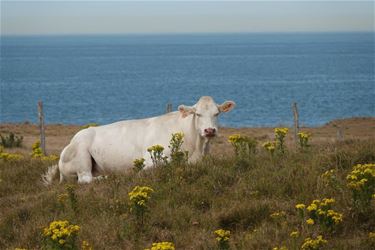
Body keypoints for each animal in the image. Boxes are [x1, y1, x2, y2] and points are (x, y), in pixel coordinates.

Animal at [43, 95, 235, 184]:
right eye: (198, 114)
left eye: (217, 113)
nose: (209, 130)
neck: (196, 148)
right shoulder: (151, 160)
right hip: (81, 155)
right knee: (85, 179)